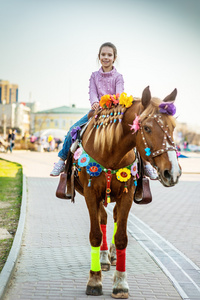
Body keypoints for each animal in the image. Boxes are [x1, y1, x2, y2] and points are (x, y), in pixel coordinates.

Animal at [69, 86, 181, 298]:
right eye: (147, 128)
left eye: (173, 127)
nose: (173, 172)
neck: (110, 150)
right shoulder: (90, 194)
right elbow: (95, 234)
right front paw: (94, 280)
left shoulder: (127, 195)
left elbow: (121, 237)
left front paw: (120, 284)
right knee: (103, 218)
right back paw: (104, 258)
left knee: (112, 217)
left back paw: (111, 256)